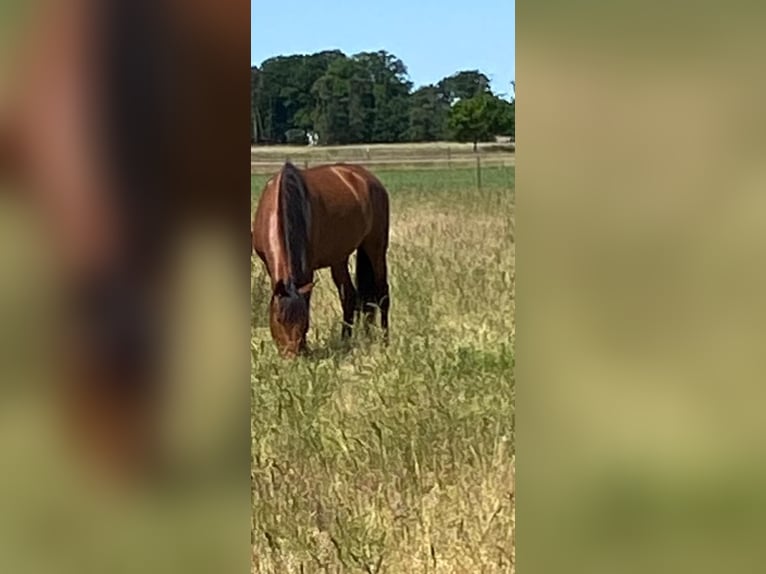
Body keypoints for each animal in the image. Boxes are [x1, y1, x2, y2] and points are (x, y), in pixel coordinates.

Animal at [255, 162, 392, 356]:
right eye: (279, 319)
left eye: (303, 319)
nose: (291, 357)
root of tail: (370, 179)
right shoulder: (270, 265)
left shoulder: (307, 270)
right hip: (339, 258)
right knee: (350, 296)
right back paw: (347, 340)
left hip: (376, 248)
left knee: (382, 293)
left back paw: (385, 341)